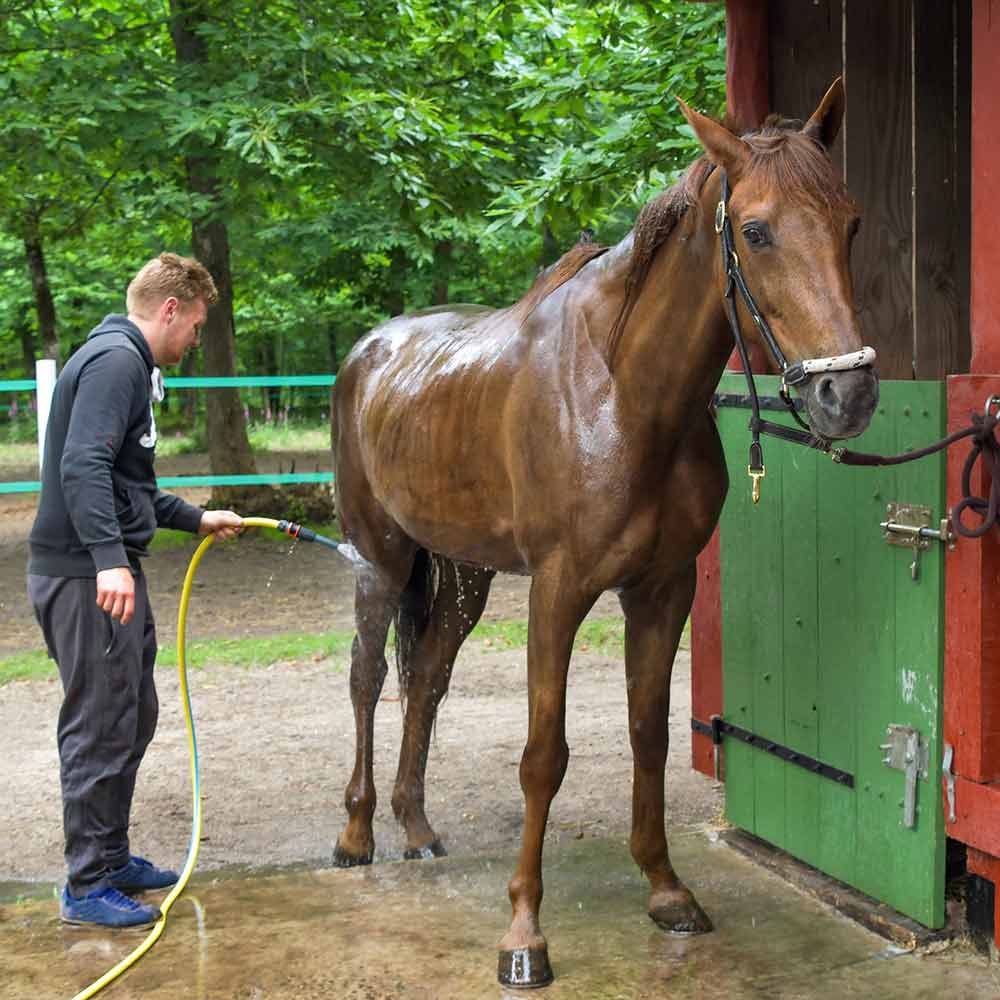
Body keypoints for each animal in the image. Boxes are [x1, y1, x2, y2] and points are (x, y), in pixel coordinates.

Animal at [330, 76, 876, 984]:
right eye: (756, 230)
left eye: (851, 222)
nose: (850, 396)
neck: (624, 393)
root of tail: (369, 351)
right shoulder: (558, 590)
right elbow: (542, 758)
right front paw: (524, 933)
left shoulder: (662, 589)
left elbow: (648, 735)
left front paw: (666, 890)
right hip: (380, 557)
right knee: (369, 679)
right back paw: (357, 832)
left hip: (462, 575)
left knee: (429, 677)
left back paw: (416, 826)